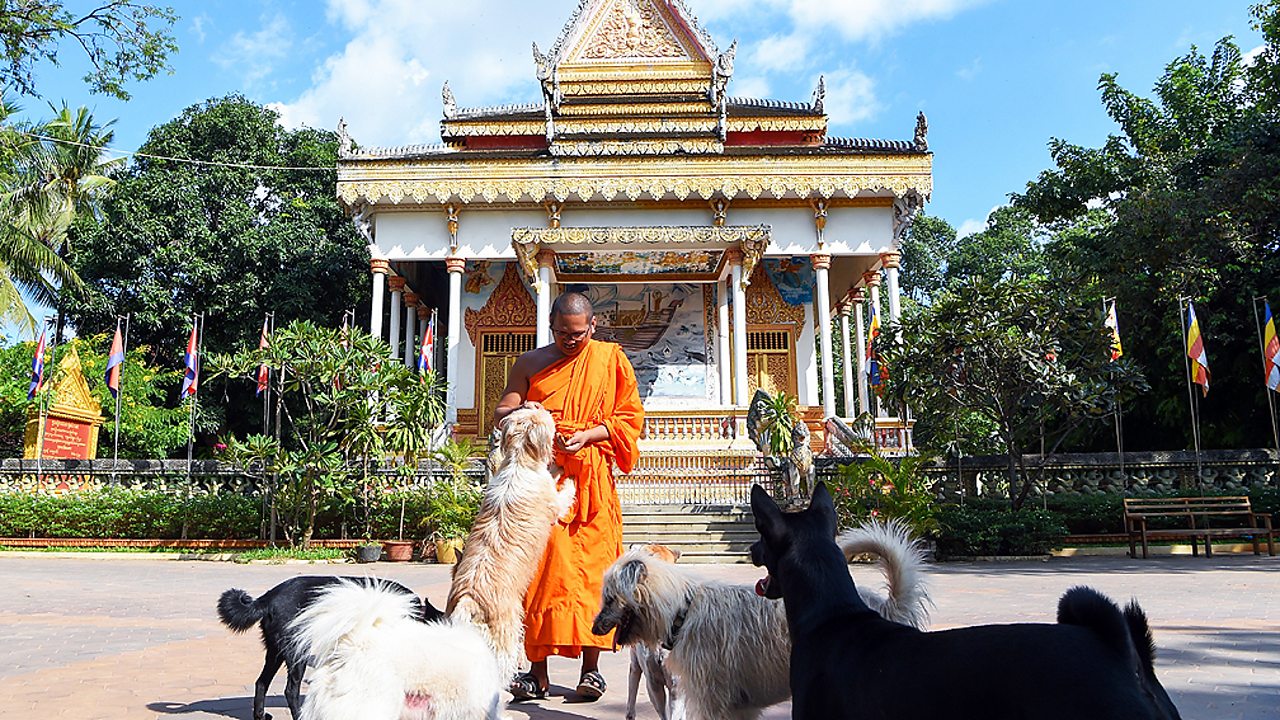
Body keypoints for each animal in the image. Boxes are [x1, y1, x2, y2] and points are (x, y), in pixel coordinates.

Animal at [216, 571, 445, 717]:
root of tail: (266, 598)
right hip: (296, 652)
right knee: (290, 690)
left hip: (275, 652)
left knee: (261, 683)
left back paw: (260, 715)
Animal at [293, 407, 573, 712]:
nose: (542, 407)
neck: (519, 461)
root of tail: (468, 600)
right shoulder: (552, 503)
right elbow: (562, 494)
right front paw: (567, 476)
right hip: (506, 629)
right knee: (501, 661)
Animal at [588, 515, 931, 717]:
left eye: (609, 598)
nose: (593, 628)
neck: (682, 611)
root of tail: (888, 606)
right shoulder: (736, 707)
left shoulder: (707, 699)